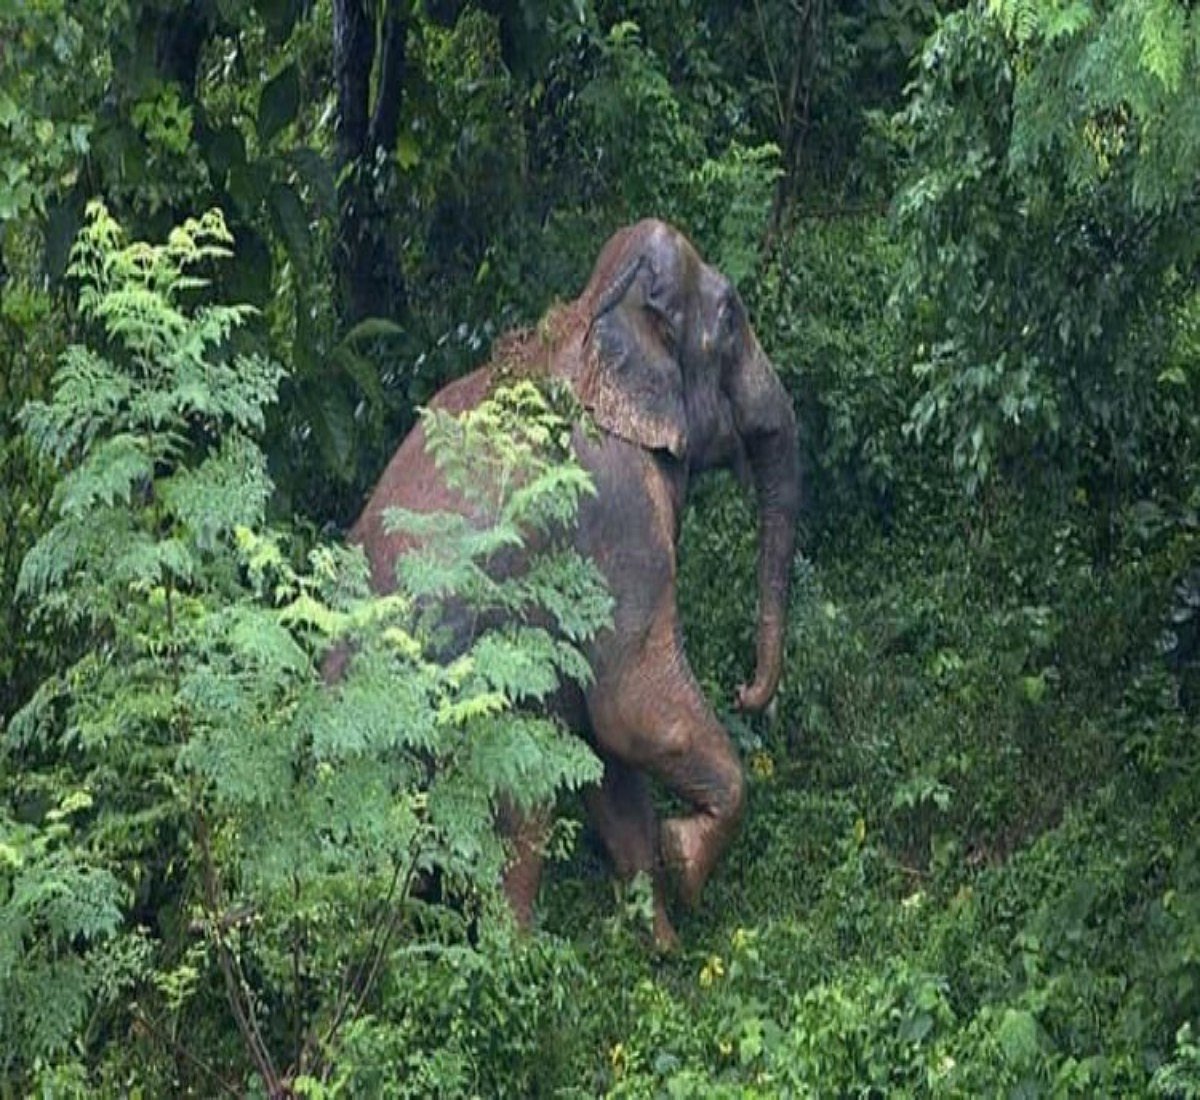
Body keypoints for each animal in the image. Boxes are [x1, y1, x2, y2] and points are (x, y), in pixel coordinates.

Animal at [347, 219, 801, 948]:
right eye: (731, 317)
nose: (746, 690)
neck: (591, 317)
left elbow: (610, 759)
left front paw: (663, 952)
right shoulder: (619, 506)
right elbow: (629, 706)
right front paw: (685, 861)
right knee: (522, 810)